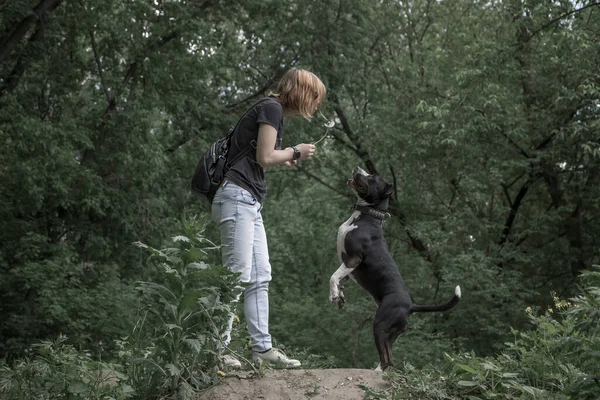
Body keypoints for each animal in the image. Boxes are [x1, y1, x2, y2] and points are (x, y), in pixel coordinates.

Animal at [330, 166, 462, 372]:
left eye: (372, 177)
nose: (357, 168)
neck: (367, 217)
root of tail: (411, 306)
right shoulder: (348, 265)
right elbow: (340, 278)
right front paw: (339, 296)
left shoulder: (353, 259)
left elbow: (333, 276)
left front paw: (334, 294)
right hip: (390, 332)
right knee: (389, 356)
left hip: (380, 324)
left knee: (387, 359)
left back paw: (377, 372)